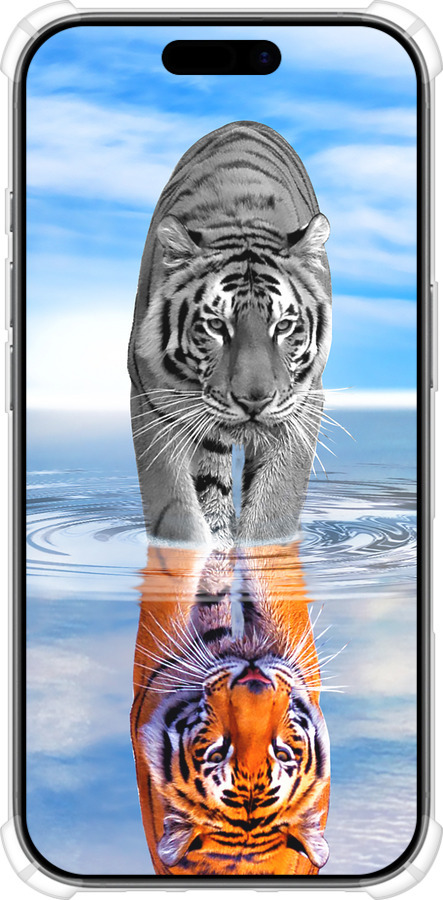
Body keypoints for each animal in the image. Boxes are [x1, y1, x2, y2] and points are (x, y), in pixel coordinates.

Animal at [128, 121, 332, 549]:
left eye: (283, 326)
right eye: (216, 326)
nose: (254, 401)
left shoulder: (303, 404)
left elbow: (273, 510)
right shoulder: (152, 401)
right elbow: (176, 513)